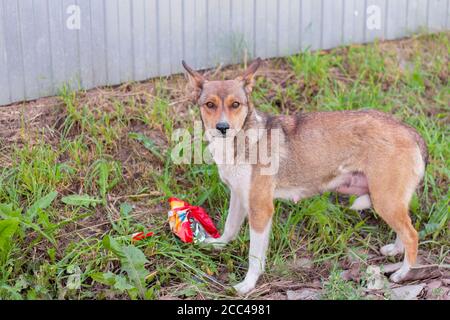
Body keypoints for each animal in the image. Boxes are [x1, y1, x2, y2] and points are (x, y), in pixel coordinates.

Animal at [181, 58, 428, 296]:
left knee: (412, 234)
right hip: (391, 201)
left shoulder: (261, 209)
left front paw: (248, 285)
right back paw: (395, 250)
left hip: (385, 200)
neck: (243, 139)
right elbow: (230, 227)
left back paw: (402, 273)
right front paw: (218, 244)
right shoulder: (239, 196)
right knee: (404, 228)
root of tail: (409, 131)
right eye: (210, 104)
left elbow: (255, 256)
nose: (222, 127)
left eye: (235, 104)